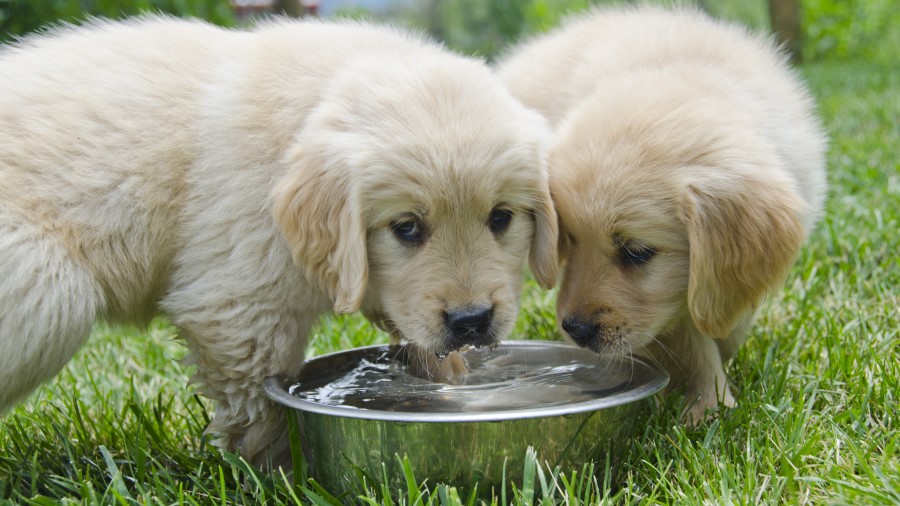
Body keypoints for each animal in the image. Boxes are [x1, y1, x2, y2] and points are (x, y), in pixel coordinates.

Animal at [0, 16, 556, 466]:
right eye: (407, 227)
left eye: (501, 217)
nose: (471, 321)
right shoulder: (239, 306)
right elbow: (261, 403)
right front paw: (279, 471)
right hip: (48, 287)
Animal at [496, 5, 828, 422]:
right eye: (568, 240)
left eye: (637, 252)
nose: (576, 330)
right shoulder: (670, 313)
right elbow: (691, 342)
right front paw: (708, 405)